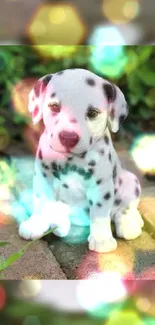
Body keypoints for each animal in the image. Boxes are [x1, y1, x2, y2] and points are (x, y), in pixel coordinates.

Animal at [18, 67, 144, 253]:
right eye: (54, 107)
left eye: (92, 113)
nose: (68, 137)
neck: (71, 160)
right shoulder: (43, 177)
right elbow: (41, 201)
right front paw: (35, 224)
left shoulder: (101, 186)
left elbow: (100, 212)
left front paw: (101, 239)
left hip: (131, 181)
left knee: (126, 207)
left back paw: (130, 223)